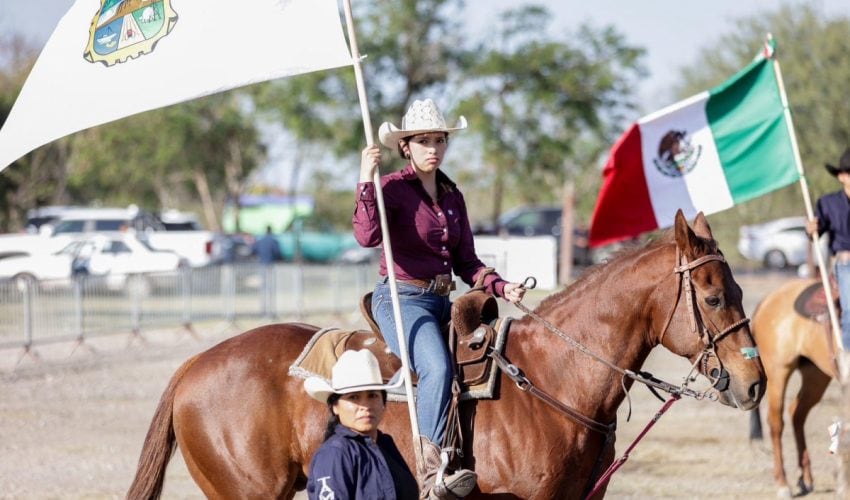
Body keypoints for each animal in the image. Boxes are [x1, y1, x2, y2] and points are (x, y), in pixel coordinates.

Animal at [748, 278, 836, 496]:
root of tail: (768, 299)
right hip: (778, 372)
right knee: (776, 423)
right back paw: (783, 484)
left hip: (816, 375)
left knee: (797, 413)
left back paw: (805, 478)